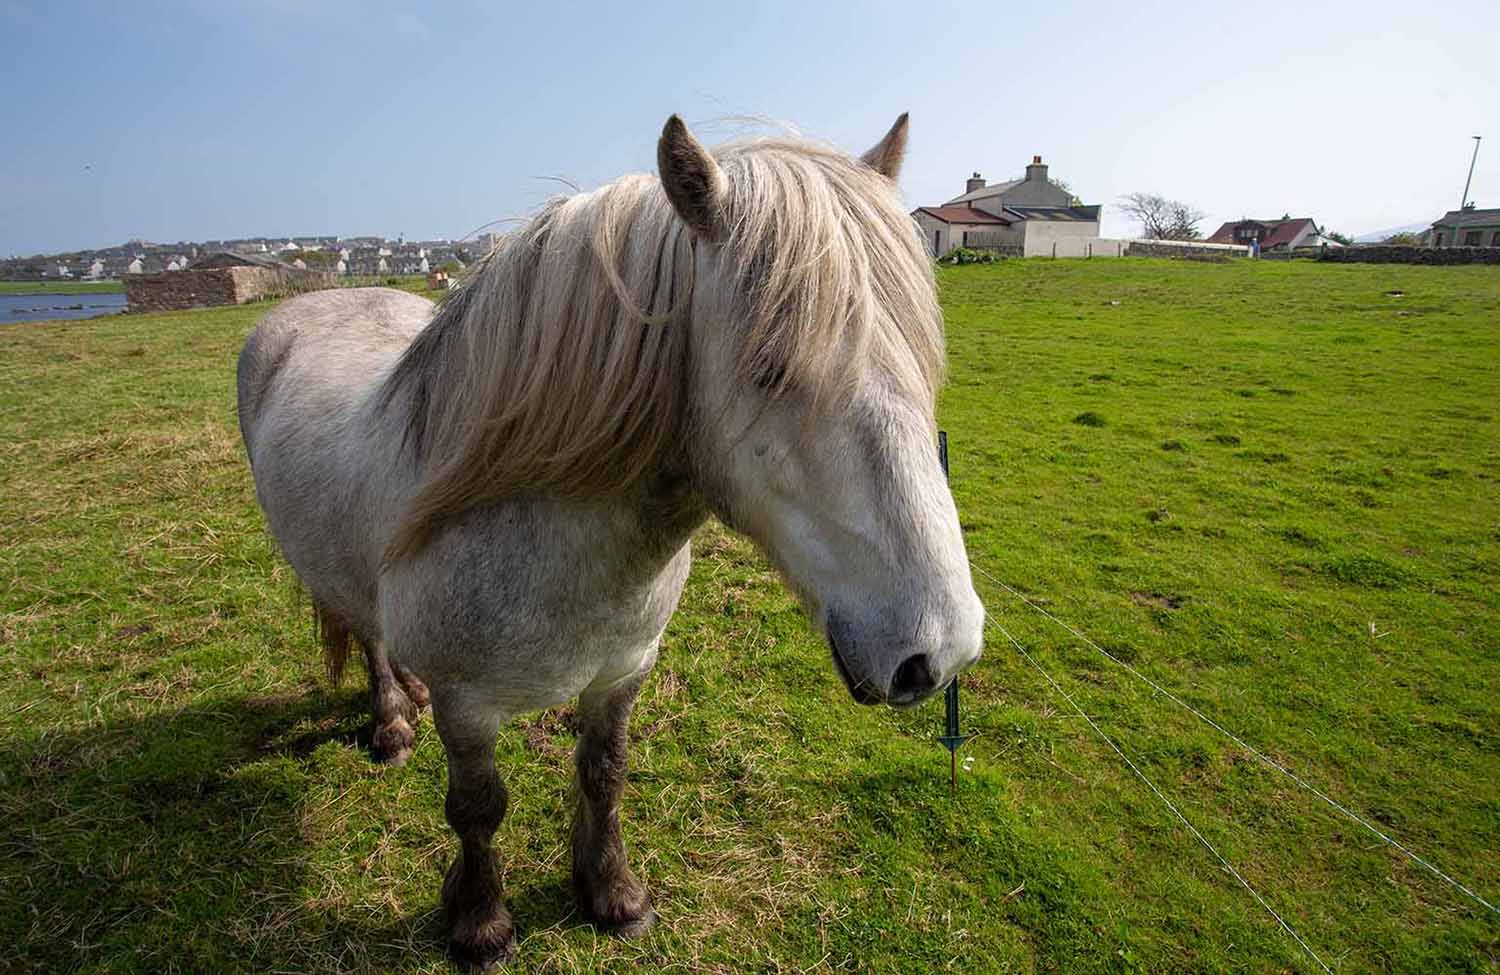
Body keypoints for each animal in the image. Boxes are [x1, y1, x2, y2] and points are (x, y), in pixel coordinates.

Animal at [234, 114, 984, 966]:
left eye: (924, 360)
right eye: (770, 366)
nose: (943, 651)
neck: (553, 542)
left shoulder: (623, 670)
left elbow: (604, 773)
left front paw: (612, 892)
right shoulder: (468, 707)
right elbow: (477, 807)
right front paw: (481, 924)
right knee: (368, 634)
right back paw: (393, 721)